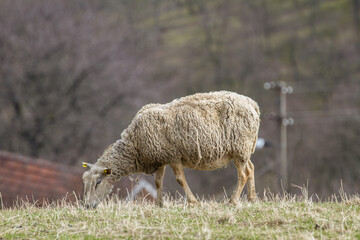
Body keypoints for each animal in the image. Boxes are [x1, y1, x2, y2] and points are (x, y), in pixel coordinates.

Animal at [83, 91, 260, 207]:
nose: (88, 206)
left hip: (240, 147)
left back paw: (233, 201)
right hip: (244, 149)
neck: (135, 144)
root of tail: (252, 104)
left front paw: (193, 202)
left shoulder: (173, 156)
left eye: (98, 182)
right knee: (251, 168)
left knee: (243, 174)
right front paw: (160, 204)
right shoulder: (161, 157)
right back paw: (252, 198)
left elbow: (180, 179)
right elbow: (158, 182)